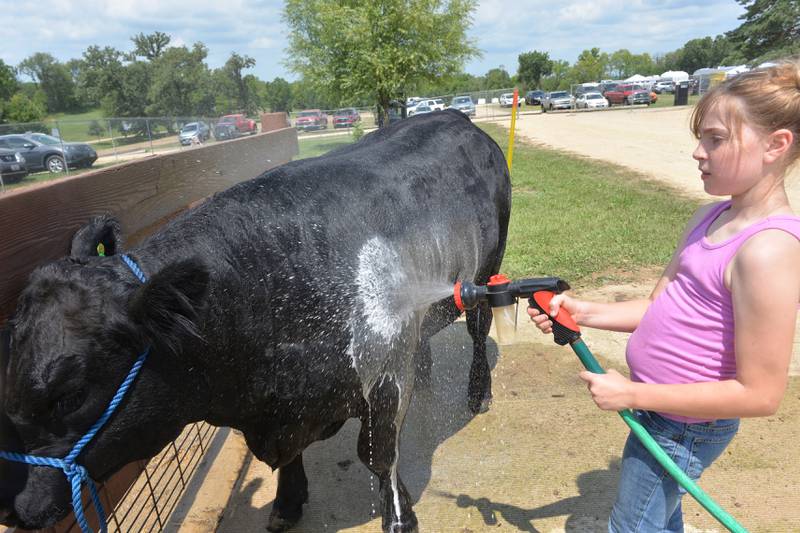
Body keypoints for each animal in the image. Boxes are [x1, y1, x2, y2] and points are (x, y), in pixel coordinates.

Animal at [0, 109, 511, 532]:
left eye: (71, 395)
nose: (14, 509)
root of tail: (455, 116)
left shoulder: (382, 374)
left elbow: (377, 455)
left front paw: (399, 517)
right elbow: (292, 460)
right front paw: (287, 501)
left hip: (484, 274)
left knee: (478, 327)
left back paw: (478, 392)